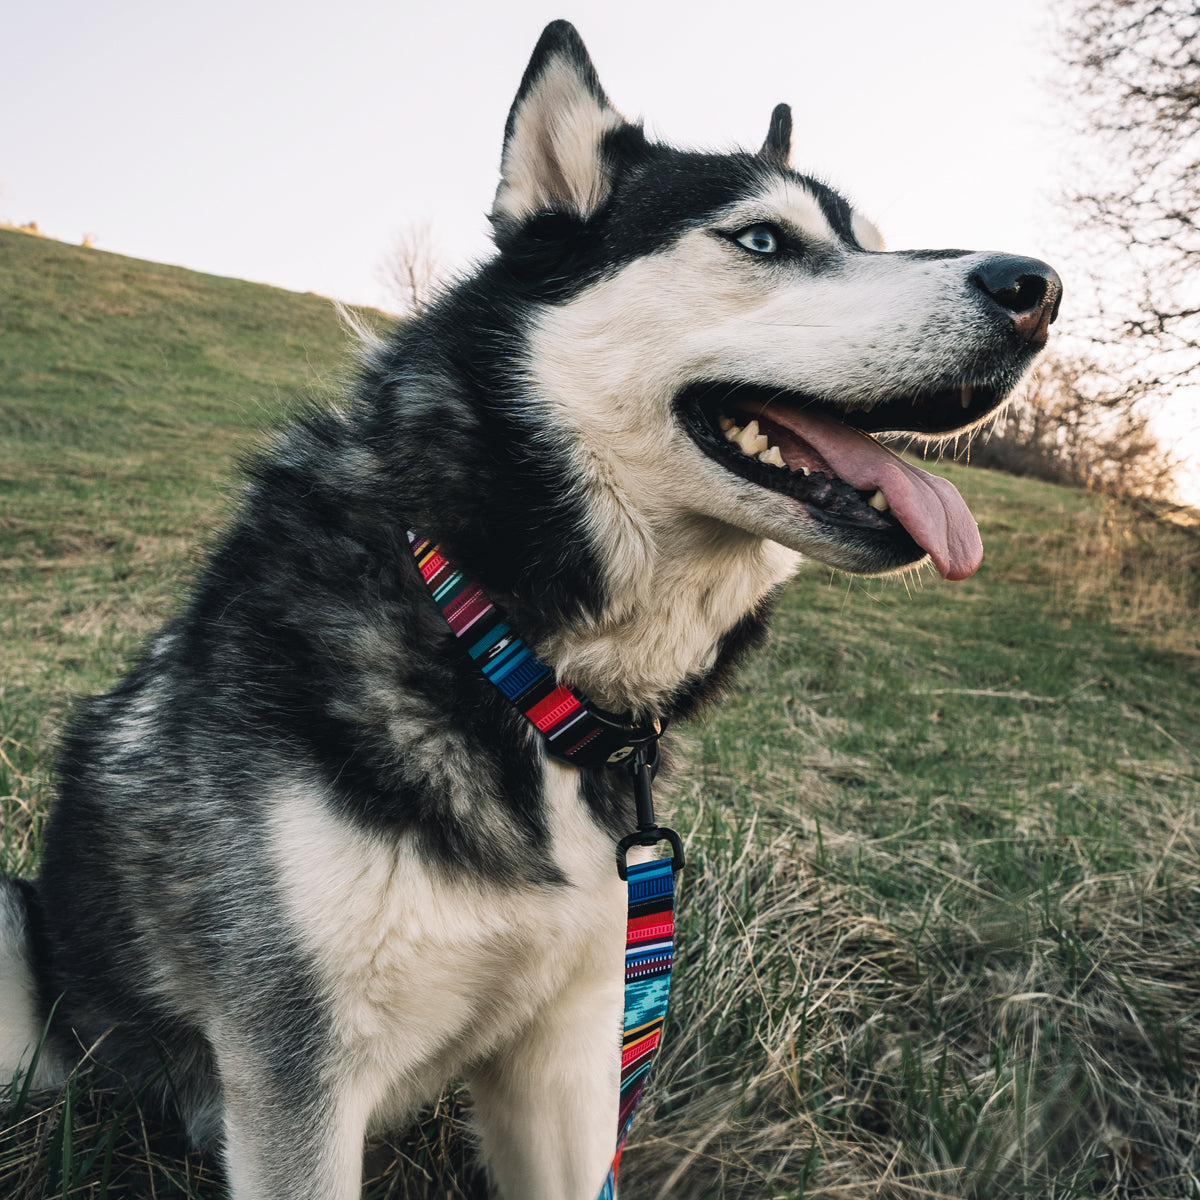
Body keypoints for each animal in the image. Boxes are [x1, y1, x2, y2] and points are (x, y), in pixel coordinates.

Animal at [4, 18, 1065, 1200]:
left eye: (873, 242)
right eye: (763, 241)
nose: (1039, 286)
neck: (507, 651)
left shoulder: (572, 1041)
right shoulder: (292, 1071)